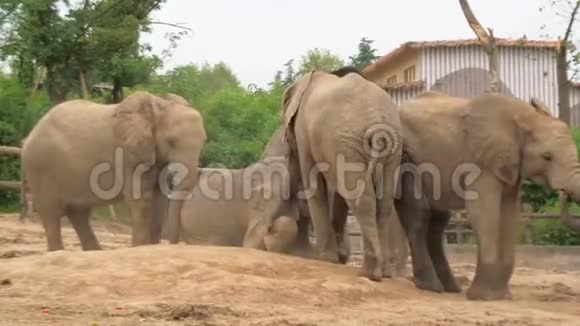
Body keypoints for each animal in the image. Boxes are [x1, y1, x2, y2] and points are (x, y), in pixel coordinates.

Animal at [21, 91, 206, 252]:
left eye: (203, 140)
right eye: (171, 141)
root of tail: (29, 136)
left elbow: (159, 200)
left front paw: (151, 247)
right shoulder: (128, 153)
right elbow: (141, 199)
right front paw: (140, 248)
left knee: (79, 213)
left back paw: (94, 252)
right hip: (40, 167)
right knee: (51, 214)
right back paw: (57, 251)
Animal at [282, 70, 404, 278]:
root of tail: (377, 122)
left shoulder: (305, 134)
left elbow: (314, 182)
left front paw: (325, 259)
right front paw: (339, 258)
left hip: (348, 141)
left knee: (363, 201)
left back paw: (370, 273)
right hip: (390, 148)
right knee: (384, 203)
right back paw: (385, 273)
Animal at [396, 91, 580, 300]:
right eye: (547, 157)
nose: (564, 194)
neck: (523, 116)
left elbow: (509, 212)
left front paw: (501, 296)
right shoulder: (481, 163)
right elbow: (483, 211)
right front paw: (483, 297)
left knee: (437, 222)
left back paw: (450, 288)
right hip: (406, 159)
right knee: (419, 216)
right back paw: (433, 287)